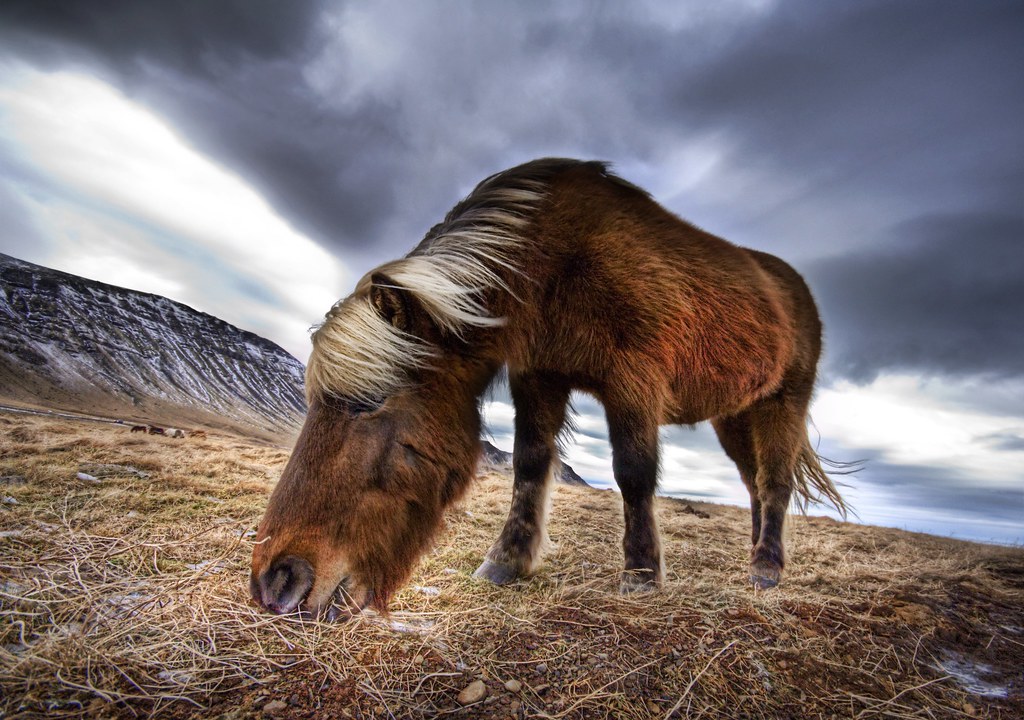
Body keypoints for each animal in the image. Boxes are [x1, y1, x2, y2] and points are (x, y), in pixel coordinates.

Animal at [249, 157, 847, 618]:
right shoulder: (538, 377)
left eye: (367, 405)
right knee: (754, 484)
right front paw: (506, 562)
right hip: (735, 416)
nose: (275, 582)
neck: (557, 262)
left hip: (782, 405)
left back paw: (766, 569)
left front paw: (641, 574)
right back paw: (757, 557)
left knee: (774, 481)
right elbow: (530, 464)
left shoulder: (633, 382)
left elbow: (632, 473)